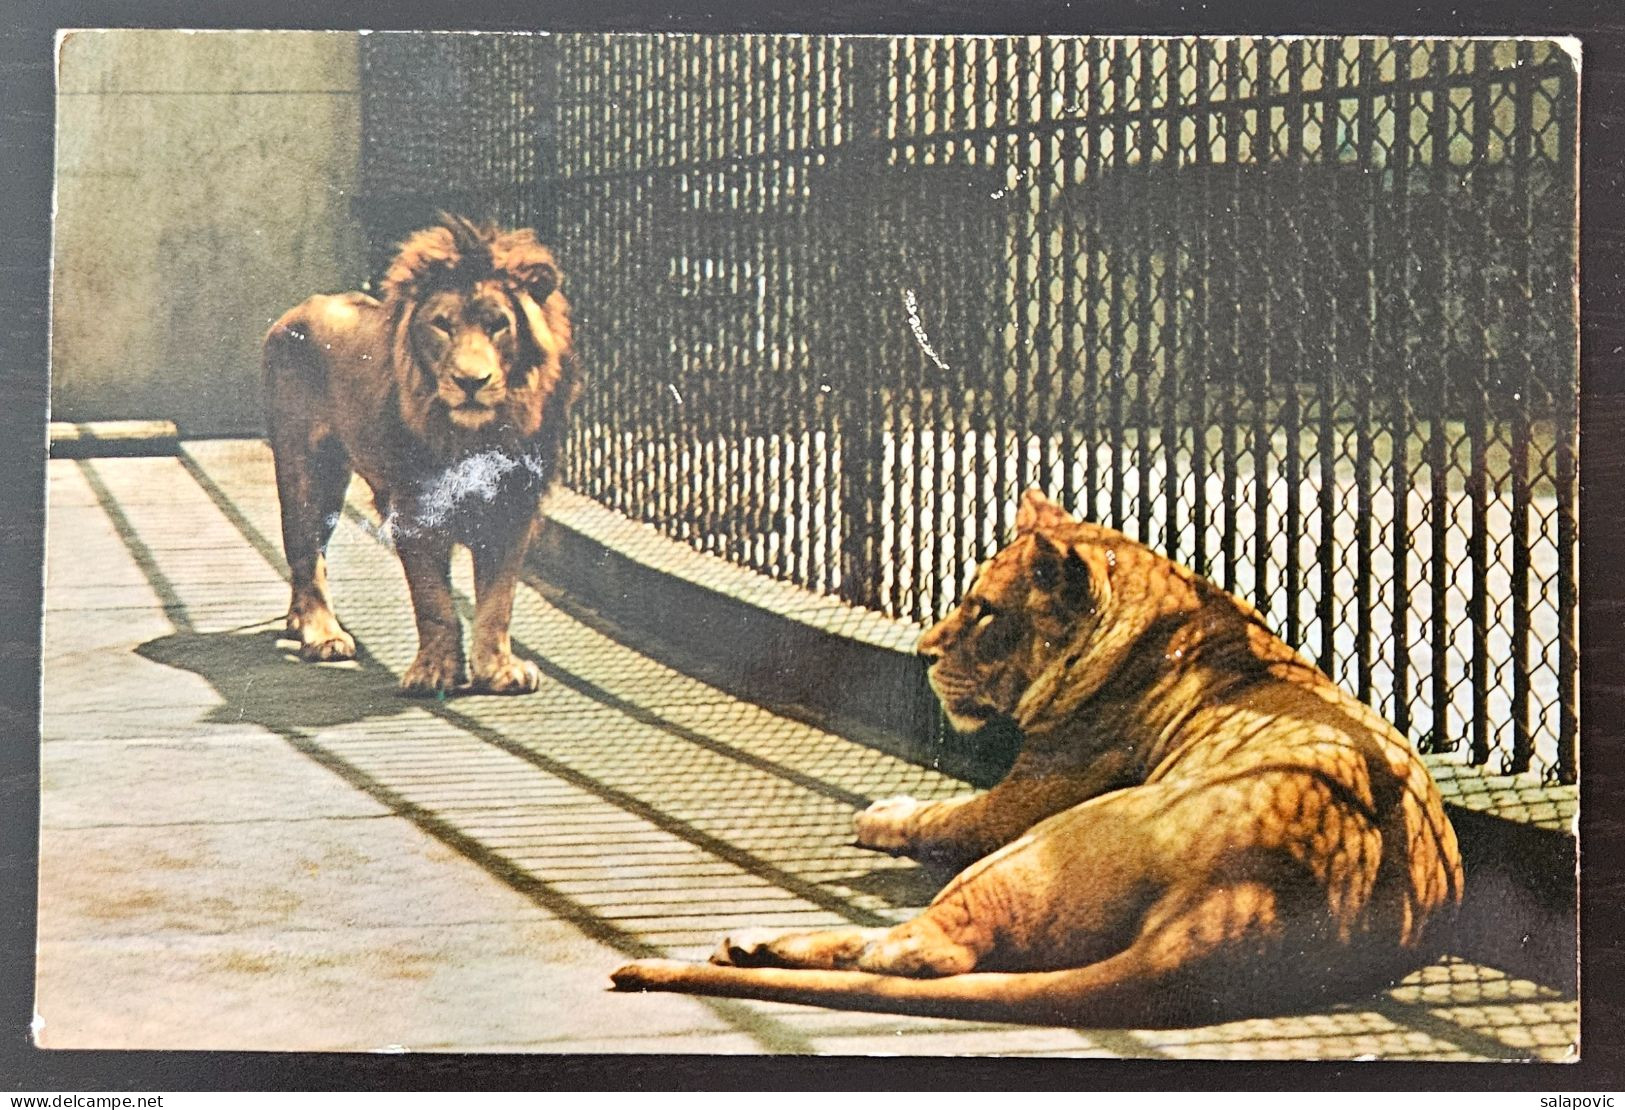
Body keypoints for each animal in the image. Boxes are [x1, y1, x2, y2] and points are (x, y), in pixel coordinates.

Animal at [271, 216, 585, 695]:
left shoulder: (512, 505)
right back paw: (322, 635)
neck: (472, 436)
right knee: (306, 555)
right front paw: (435, 670)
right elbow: (432, 598)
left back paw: (297, 620)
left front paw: (499, 670)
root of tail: (296, 311)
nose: (471, 381)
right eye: (442, 325)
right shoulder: (414, 507)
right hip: (303, 468)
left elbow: (498, 601)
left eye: (498, 324)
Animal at [611, 490, 1475, 1027]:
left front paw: (884, 815)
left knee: (920, 950)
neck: (1162, 616)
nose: (923, 653)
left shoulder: (1025, 797)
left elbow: (942, 816)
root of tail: (1238, 908)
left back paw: (758, 941)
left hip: (1048, 835)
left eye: (983, 612)